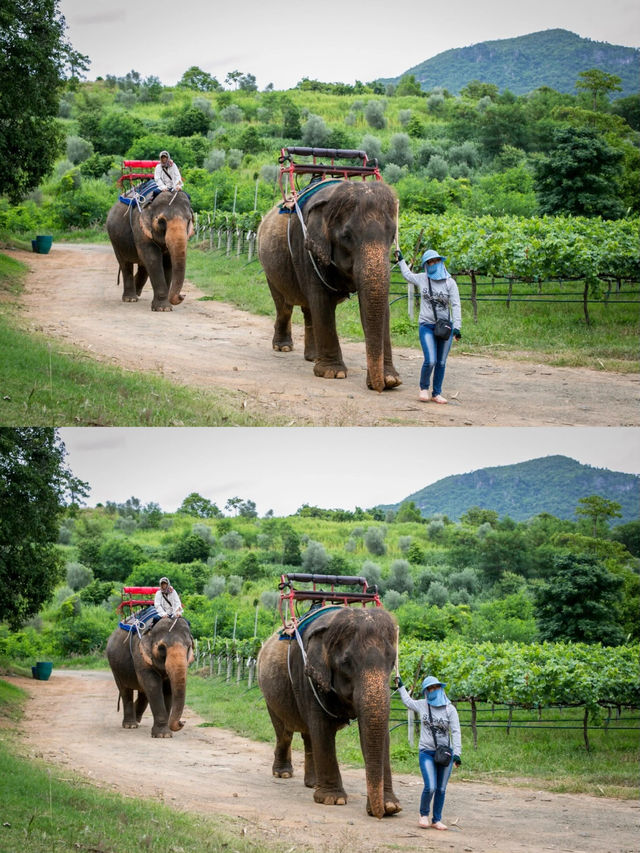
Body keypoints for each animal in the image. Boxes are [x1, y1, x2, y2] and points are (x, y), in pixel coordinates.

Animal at [256, 604, 400, 820]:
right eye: (346, 662)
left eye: (392, 662)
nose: (379, 814)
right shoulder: (306, 675)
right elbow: (322, 729)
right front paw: (333, 800)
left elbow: (379, 734)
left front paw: (391, 806)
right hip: (268, 694)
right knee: (284, 732)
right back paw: (283, 774)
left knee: (308, 735)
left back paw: (313, 783)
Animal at [258, 181, 402, 394]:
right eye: (347, 236)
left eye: (392, 236)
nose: (378, 388)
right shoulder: (306, 248)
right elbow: (322, 301)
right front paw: (333, 373)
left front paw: (391, 380)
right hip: (269, 268)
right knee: (284, 306)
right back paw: (283, 347)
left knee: (308, 309)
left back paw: (312, 357)